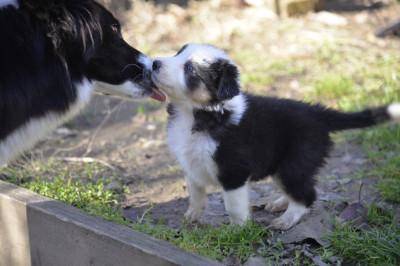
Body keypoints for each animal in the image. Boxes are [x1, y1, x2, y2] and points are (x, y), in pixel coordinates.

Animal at [152, 43, 400, 229]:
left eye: (190, 69)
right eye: (177, 53)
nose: (154, 63)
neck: (197, 113)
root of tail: (318, 114)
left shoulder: (234, 173)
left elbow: (234, 207)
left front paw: (238, 231)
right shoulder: (190, 163)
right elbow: (195, 193)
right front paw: (192, 216)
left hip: (294, 163)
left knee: (307, 195)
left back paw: (287, 219)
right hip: (285, 166)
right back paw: (281, 203)